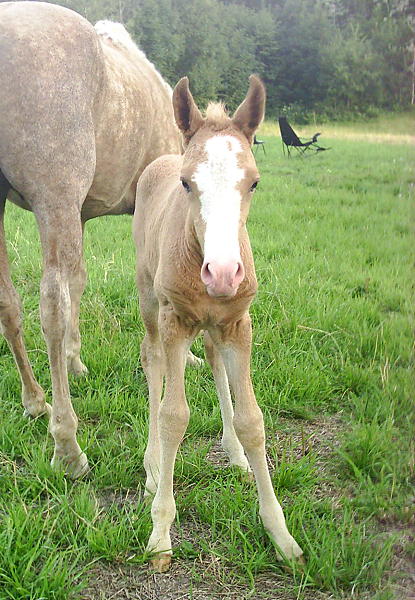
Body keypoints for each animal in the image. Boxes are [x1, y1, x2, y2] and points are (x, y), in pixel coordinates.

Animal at [0, 1, 182, 478]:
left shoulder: (79, 216)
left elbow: (79, 280)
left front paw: (74, 359)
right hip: (54, 198)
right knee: (51, 307)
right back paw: (67, 445)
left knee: (10, 301)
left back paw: (35, 401)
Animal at [133, 76, 302, 572]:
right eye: (186, 184)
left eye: (255, 182)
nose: (224, 273)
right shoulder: (174, 321)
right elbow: (174, 416)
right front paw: (160, 534)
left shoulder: (238, 324)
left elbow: (253, 420)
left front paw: (281, 535)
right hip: (149, 301)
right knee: (151, 361)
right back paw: (152, 468)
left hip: (213, 324)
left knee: (210, 358)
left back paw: (234, 455)